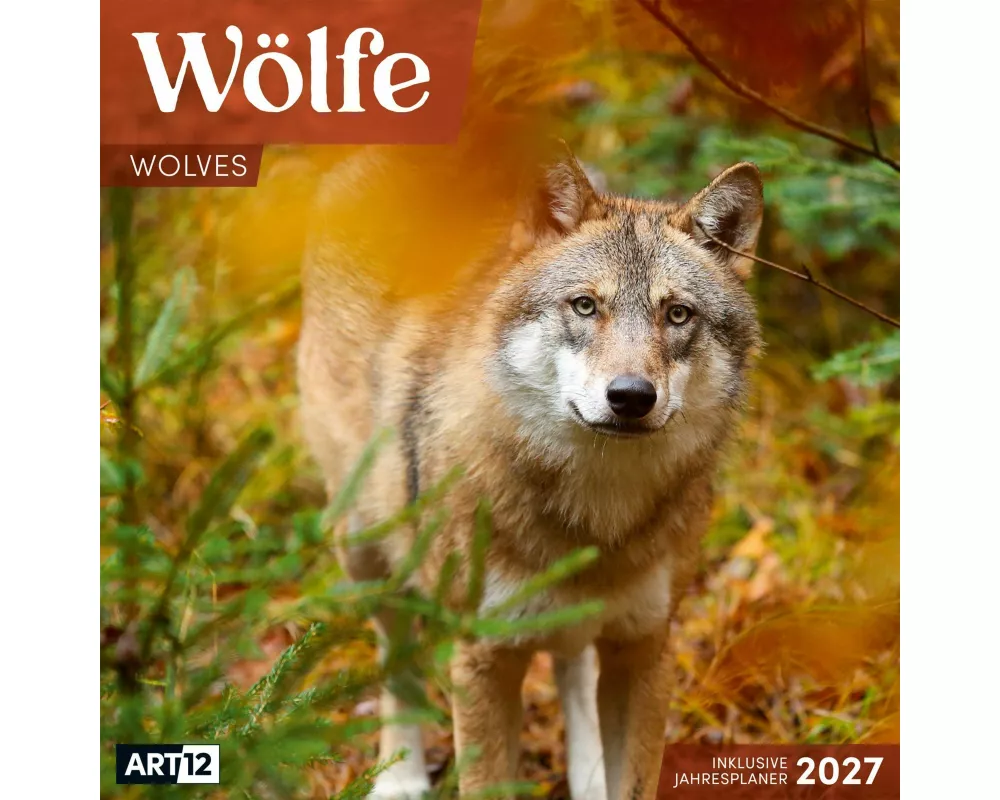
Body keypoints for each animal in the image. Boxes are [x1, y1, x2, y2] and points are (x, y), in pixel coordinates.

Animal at [298, 150, 763, 800]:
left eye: (677, 314)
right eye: (585, 305)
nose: (630, 397)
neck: (596, 518)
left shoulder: (645, 648)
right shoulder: (483, 658)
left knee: (573, 667)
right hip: (367, 545)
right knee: (396, 655)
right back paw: (401, 779)